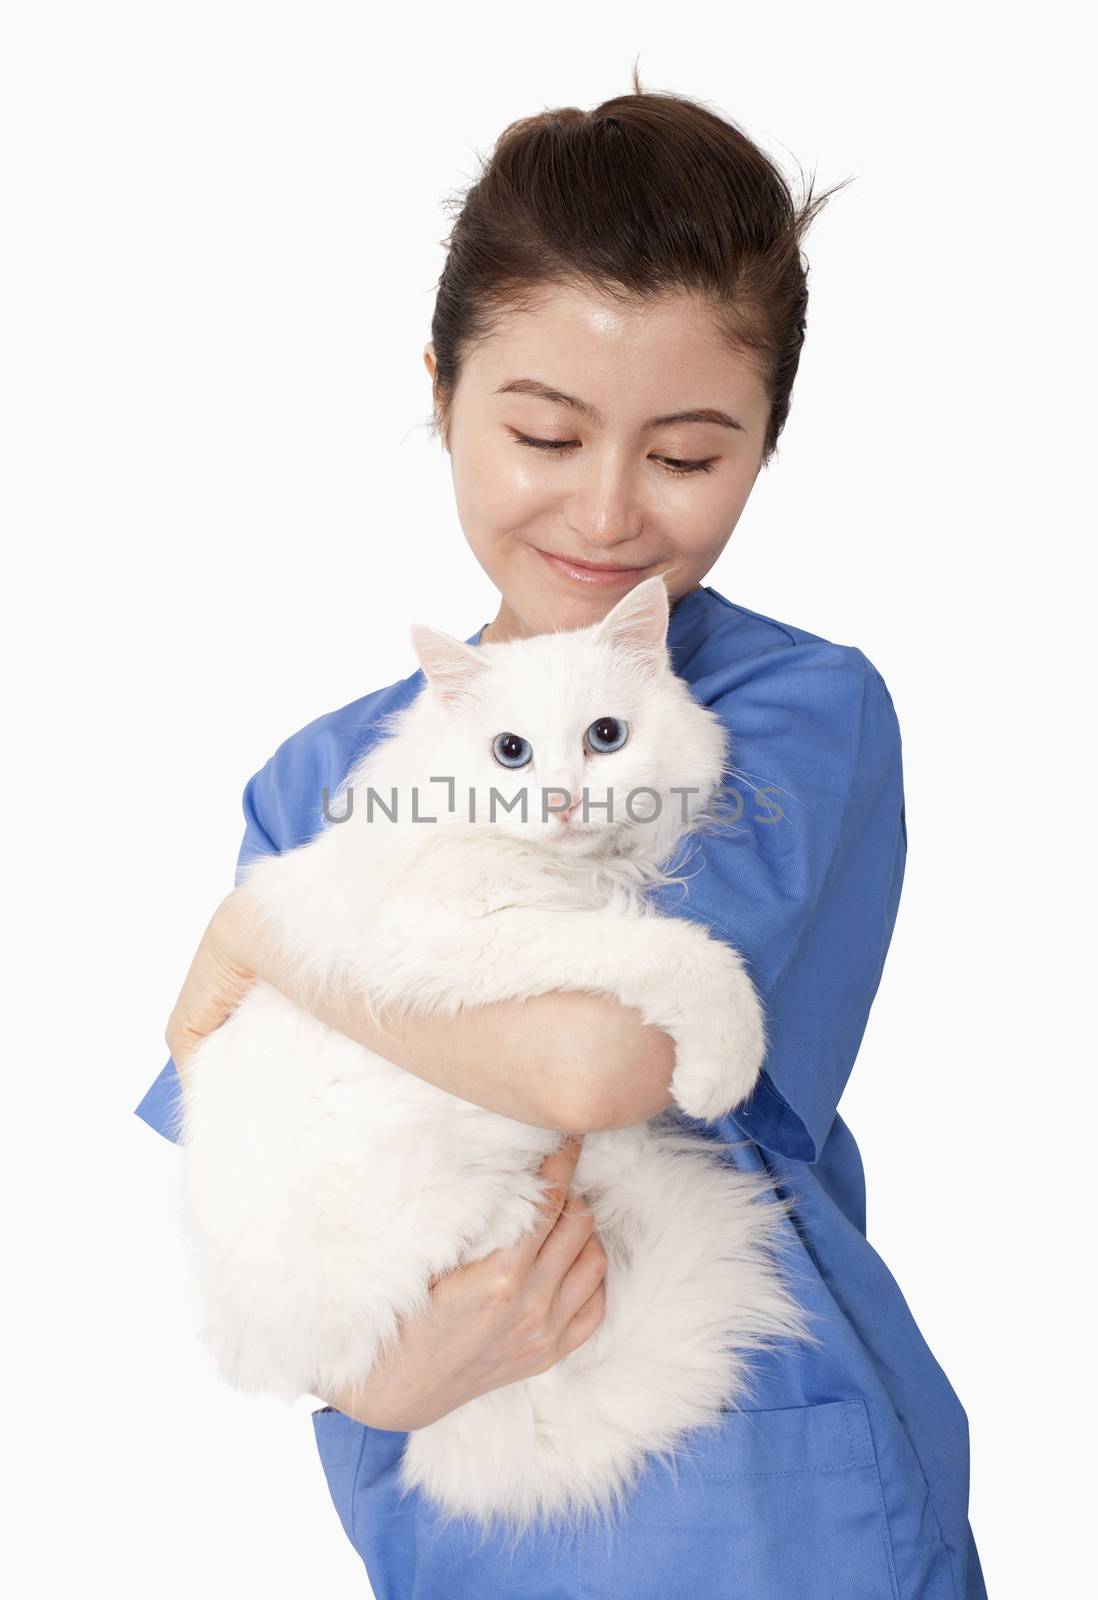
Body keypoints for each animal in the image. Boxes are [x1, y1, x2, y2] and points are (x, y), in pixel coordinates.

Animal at [178, 576, 809, 1536]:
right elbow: (673, 951)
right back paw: (517, 1210)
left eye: (605, 737)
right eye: (511, 753)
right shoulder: (458, 941)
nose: (562, 802)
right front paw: (719, 1070)